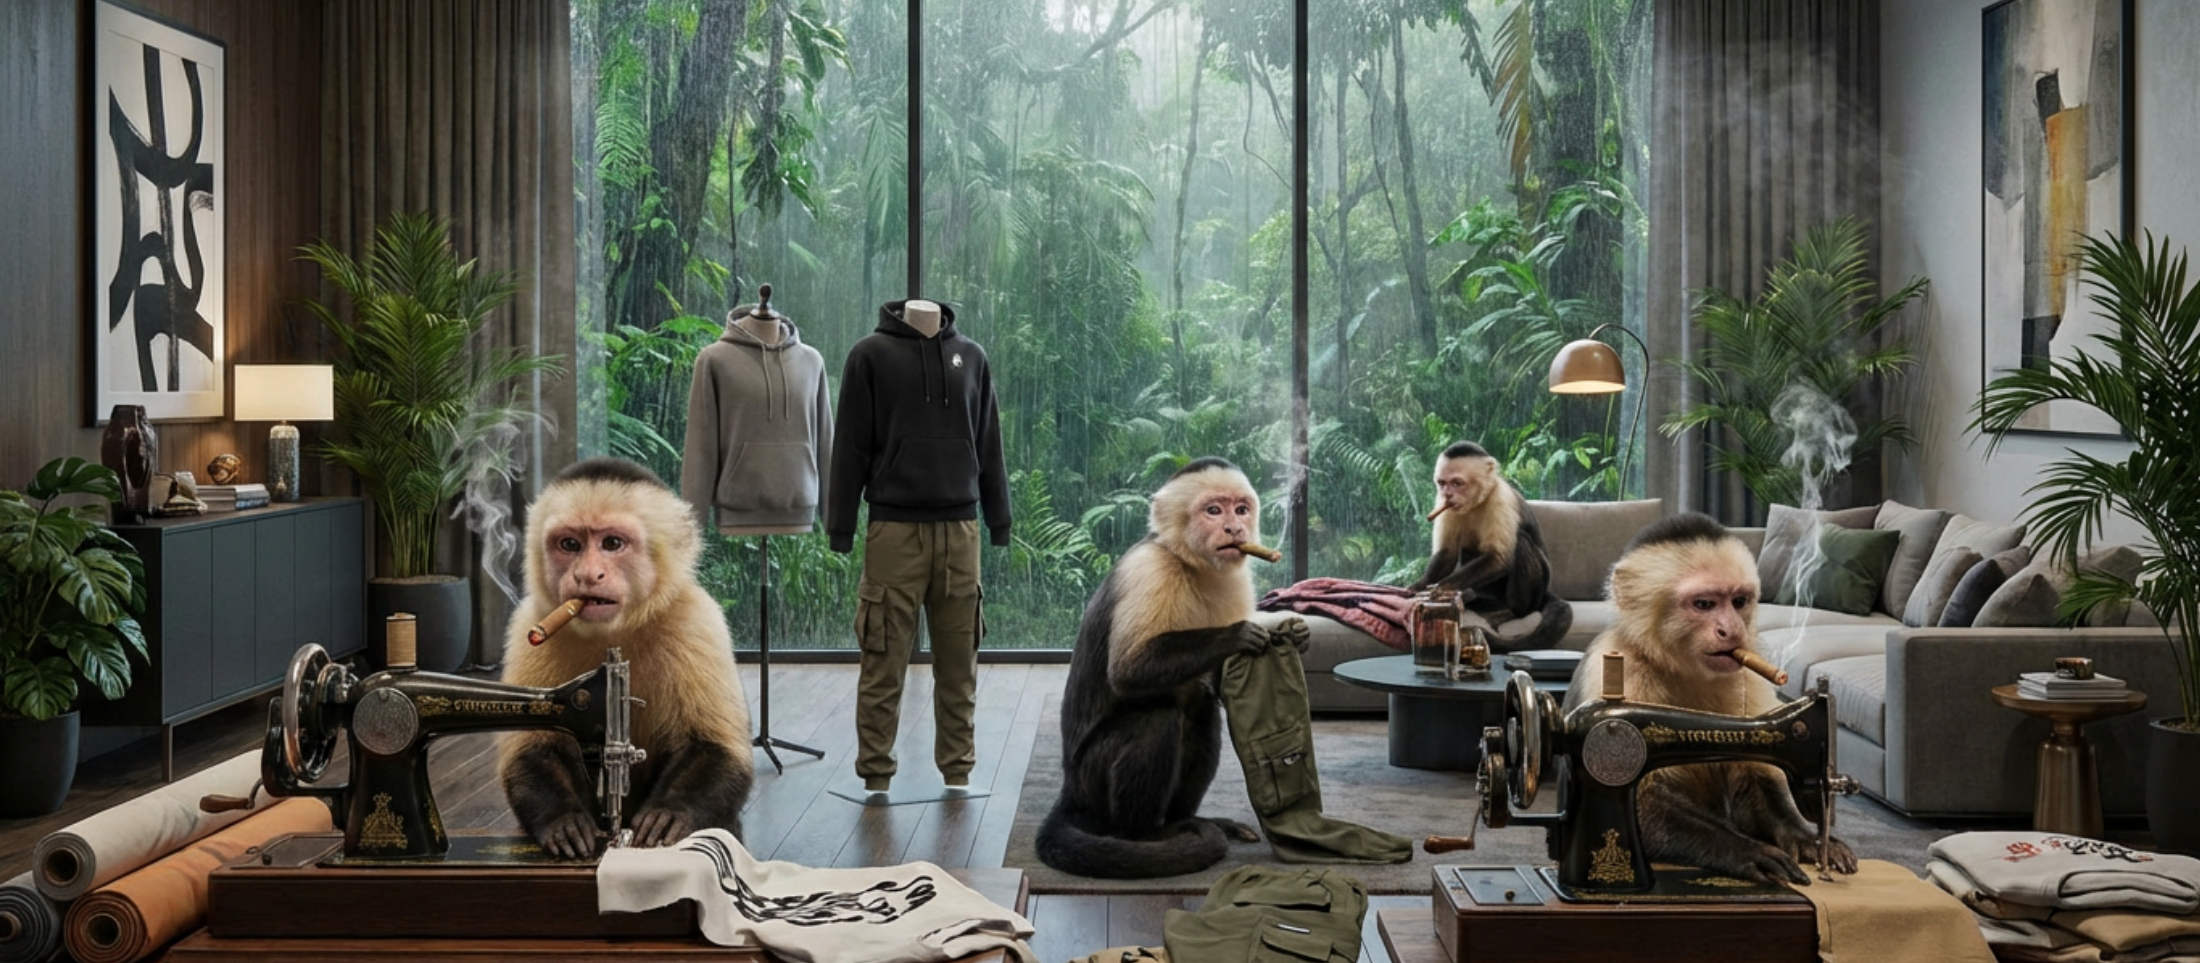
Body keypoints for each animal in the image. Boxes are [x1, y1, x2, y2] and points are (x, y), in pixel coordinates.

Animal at [500, 457, 756, 859]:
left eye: (612, 543)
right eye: (570, 544)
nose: (587, 575)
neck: (616, 632)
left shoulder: (698, 621)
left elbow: (715, 747)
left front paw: (668, 816)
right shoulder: (530, 623)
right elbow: (533, 750)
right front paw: (565, 821)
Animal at [1036, 457, 1311, 879]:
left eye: (1240, 509)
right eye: (1213, 510)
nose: (1235, 529)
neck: (1187, 561)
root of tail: (1069, 789)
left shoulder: (1235, 576)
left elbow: (1216, 683)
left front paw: (1295, 633)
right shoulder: (1150, 569)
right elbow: (1128, 670)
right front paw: (1235, 636)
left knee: (1200, 712)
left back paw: (1188, 820)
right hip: (1089, 781)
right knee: (1158, 716)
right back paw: (1147, 834)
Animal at [1409, 442, 1573, 651]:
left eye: (1457, 483)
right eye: (1442, 483)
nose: (1448, 494)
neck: (1477, 501)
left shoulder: (1501, 499)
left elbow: (1499, 558)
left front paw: (1442, 588)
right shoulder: (1442, 503)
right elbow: (1447, 553)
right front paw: (1419, 585)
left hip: (1536, 591)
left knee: (1520, 542)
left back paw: (1513, 610)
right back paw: (1474, 597)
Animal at [1564, 512, 1858, 886]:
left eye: (1738, 602)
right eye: (1704, 604)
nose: (1731, 630)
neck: (1683, 668)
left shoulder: (1749, 674)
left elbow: (1754, 781)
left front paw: (1808, 839)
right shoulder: (1619, 671)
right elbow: (1639, 798)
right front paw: (1747, 851)